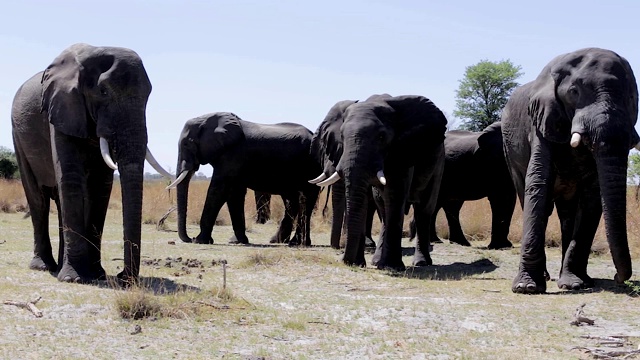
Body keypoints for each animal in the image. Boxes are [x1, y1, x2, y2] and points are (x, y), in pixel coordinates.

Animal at [11, 43, 171, 284]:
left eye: (147, 96)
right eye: (103, 92)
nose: (123, 277)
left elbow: (100, 185)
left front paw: (97, 275)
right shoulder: (62, 108)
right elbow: (70, 178)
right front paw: (73, 278)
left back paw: (61, 265)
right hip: (18, 135)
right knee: (38, 199)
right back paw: (44, 266)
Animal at [308, 94, 444, 268]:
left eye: (381, 137)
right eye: (342, 136)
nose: (343, 260)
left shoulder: (402, 151)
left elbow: (395, 195)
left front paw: (393, 267)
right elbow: (366, 198)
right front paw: (358, 263)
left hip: (438, 163)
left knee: (424, 208)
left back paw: (420, 263)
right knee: (383, 209)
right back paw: (377, 261)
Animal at [504, 47, 640, 294]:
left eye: (631, 97)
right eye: (574, 92)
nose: (618, 277)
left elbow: (593, 195)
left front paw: (574, 284)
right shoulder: (541, 121)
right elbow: (539, 182)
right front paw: (526, 287)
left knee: (567, 214)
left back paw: (578, 279)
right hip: (509, 152)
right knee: (534, 200)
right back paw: (546, 277)